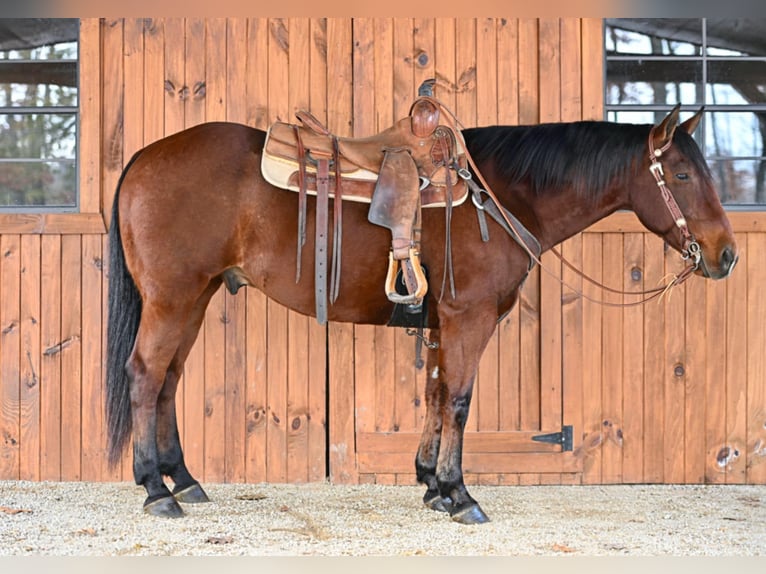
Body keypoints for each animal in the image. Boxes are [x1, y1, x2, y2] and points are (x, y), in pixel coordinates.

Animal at [106, 103, 736, 528]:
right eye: (683, 175)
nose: (726, 255)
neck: (501, 195)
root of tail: (144, 156)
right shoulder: (468, 317)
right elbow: (458, 399)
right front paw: (460, 494)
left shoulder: (441, 322)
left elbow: (435, 393)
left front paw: (432, 484)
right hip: (172, 298)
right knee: (144, 375)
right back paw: (155, 490)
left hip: (196, 297)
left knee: (168, 380)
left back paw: (183, 480)